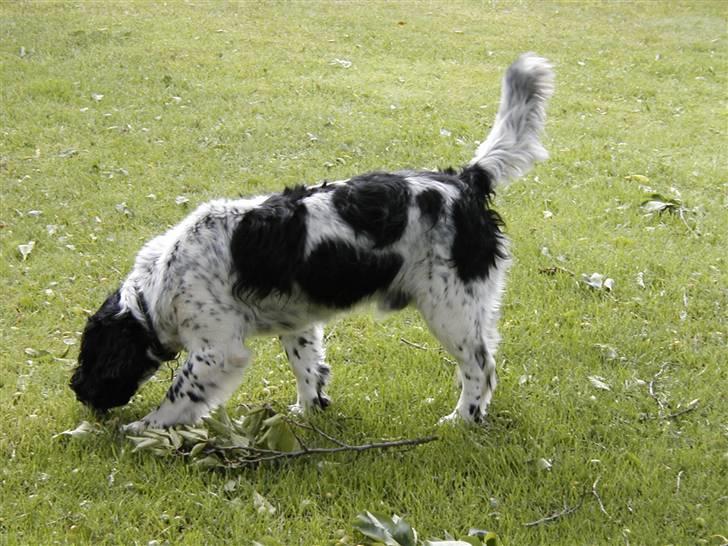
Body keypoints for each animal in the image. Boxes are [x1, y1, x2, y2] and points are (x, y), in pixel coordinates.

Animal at [72, 55, 552, 430]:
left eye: (90, 356)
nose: (76, 390)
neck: (158, 284)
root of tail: (465, 180)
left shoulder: (217, 349)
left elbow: (178, 395)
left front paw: (144, 430)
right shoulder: (298, 323)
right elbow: (308, 369)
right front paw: (307, 411)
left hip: (450, 309)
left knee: (480, 367)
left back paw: (462, 420)